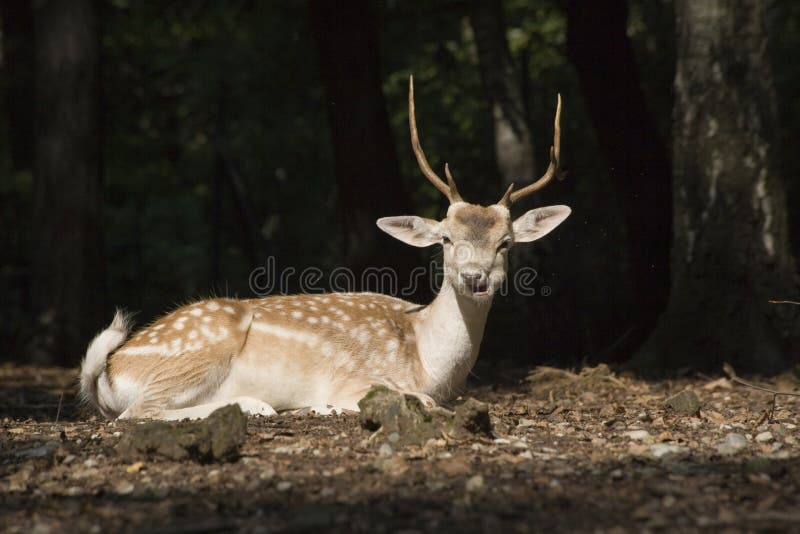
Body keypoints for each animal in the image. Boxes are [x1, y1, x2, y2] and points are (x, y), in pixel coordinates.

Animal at [79, 76, 571, 420]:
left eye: (505, 243)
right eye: (446, 239)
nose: (475, 278)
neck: (428, 363)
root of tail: (111, 371)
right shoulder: (362, 377)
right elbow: (416, 401)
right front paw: (323, 405)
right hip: (201, 348)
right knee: (134, 414)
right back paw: (258, 406)